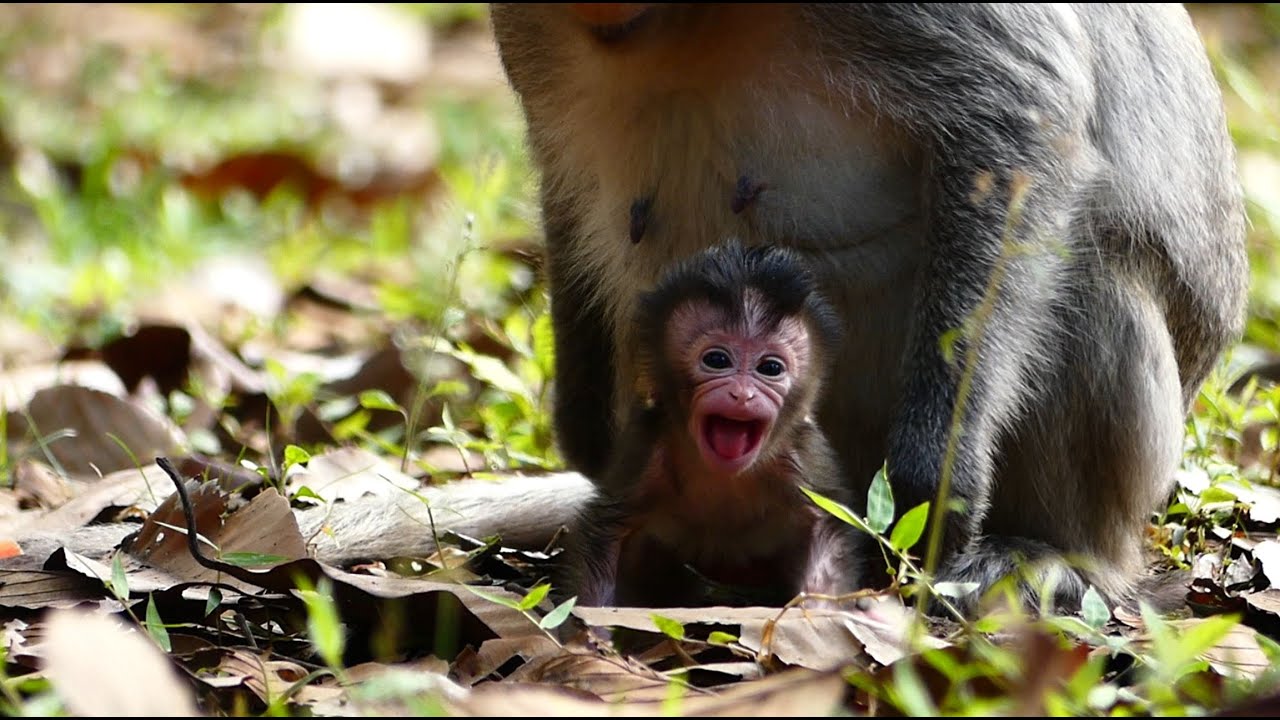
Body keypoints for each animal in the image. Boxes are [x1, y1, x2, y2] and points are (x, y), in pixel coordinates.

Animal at [561, 240, 861, 608]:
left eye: (770, 368)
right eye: (717, 360)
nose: (742, 394)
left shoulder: (802, 458)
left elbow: (825, 534)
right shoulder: (648, 447)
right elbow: (608, 530)